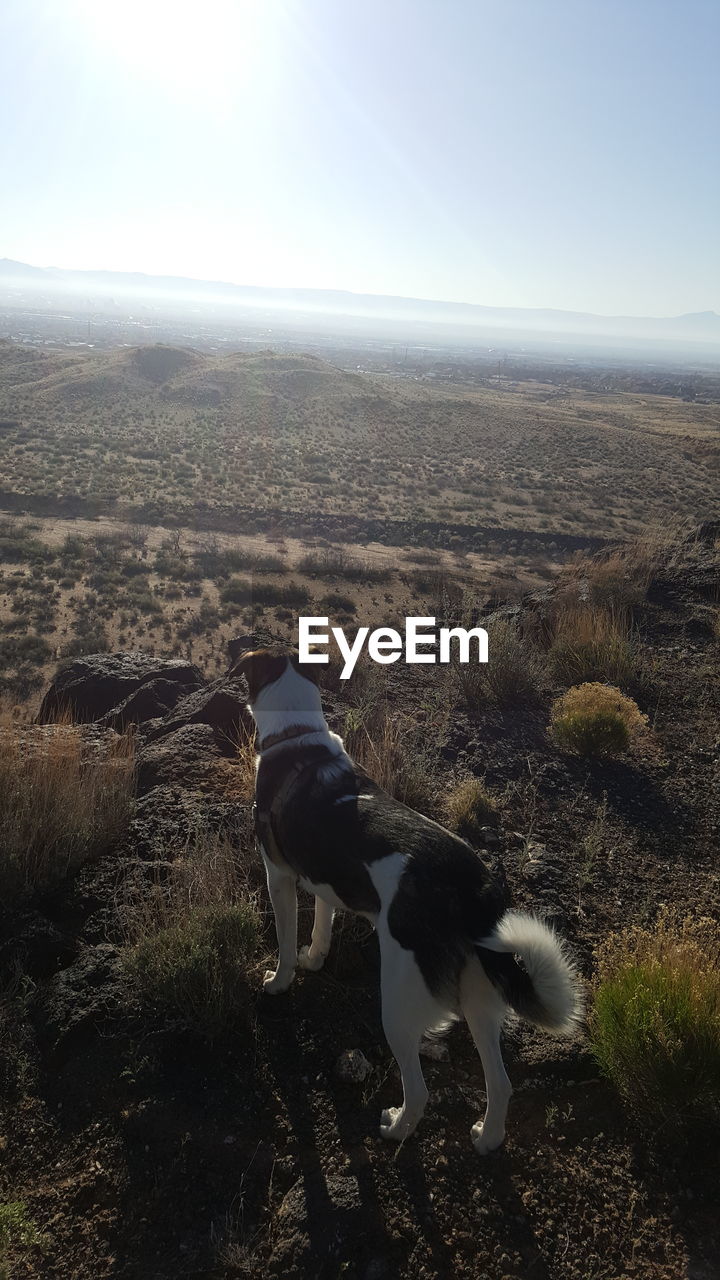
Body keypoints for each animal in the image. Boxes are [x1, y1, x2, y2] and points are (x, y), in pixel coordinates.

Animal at [233, 645, 579, 1157]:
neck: (298, 738)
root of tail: (475, 890)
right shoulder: (325, 879)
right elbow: (321, 925)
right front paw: (316, 959)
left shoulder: (280, 875)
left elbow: (286, 941)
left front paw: (280, 981)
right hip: (480, 997)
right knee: (500, 1084)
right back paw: (486, 1138)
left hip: (397, 1003)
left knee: (419, 1090)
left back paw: (395, 1128)